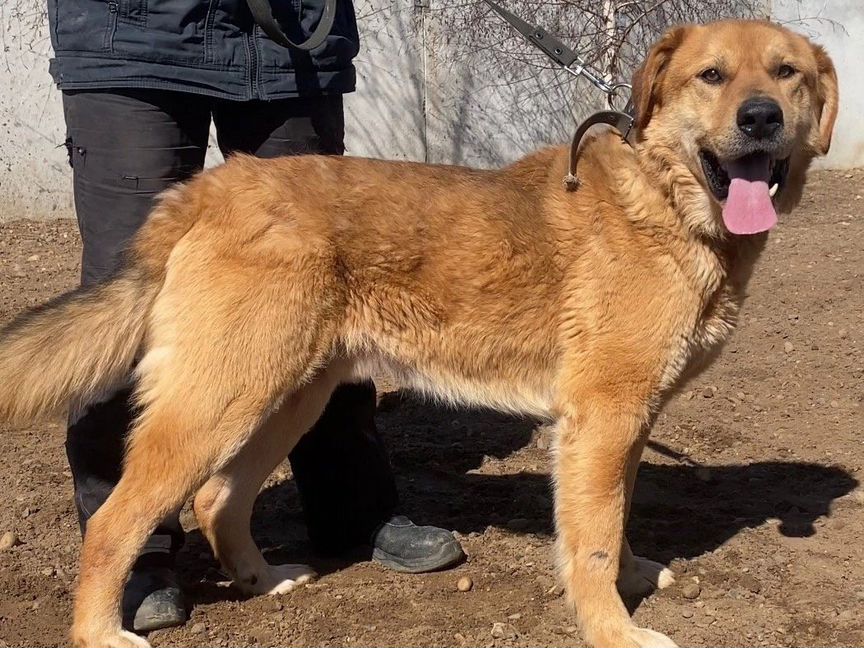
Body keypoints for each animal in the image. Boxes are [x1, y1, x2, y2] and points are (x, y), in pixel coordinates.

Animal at [0, 17, 836, 648]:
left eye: (786, 73)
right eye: (711, 76)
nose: (760, 117)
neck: (662, 200)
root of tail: (211, 186)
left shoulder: (622, 424)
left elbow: (614, 520)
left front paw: (629, 579)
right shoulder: (603, 420)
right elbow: (593, 542)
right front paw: (613, 630)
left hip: (286, 399)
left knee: (216, 499)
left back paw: (263, 581)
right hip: (216, 404)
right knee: (113, 522)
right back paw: (101, 631)